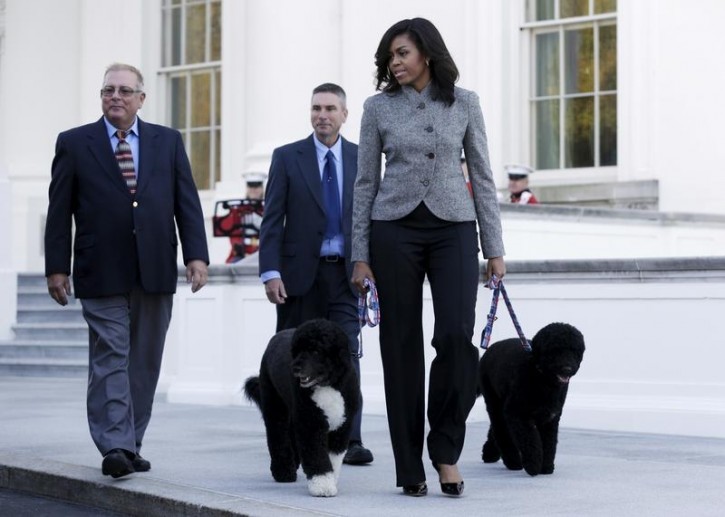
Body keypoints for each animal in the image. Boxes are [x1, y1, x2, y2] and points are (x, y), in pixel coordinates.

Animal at [243, 318, 360, 496]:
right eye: (297, 351)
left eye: (316, 351)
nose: (295, 368)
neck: (327, 385)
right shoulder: (311, 422)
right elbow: (316, 454)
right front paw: (322, 486)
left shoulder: (342, 423)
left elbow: (333, 457)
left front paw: (329, 480)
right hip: (275, 404)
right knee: (277, 435)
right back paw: (284, 472)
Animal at [480, 322, 584, 476]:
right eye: (554, 350)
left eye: (574, 350)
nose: (567, 368)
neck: (541, 379)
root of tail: (488, 350)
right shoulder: (517, 413)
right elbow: (530, 440)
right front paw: (534, 465)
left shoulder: (550, 416)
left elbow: (549, 442)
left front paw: (546, 466)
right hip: (494, 402)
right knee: (501, 431)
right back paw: (513, 462)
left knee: (496, 429)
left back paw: (490, 454)